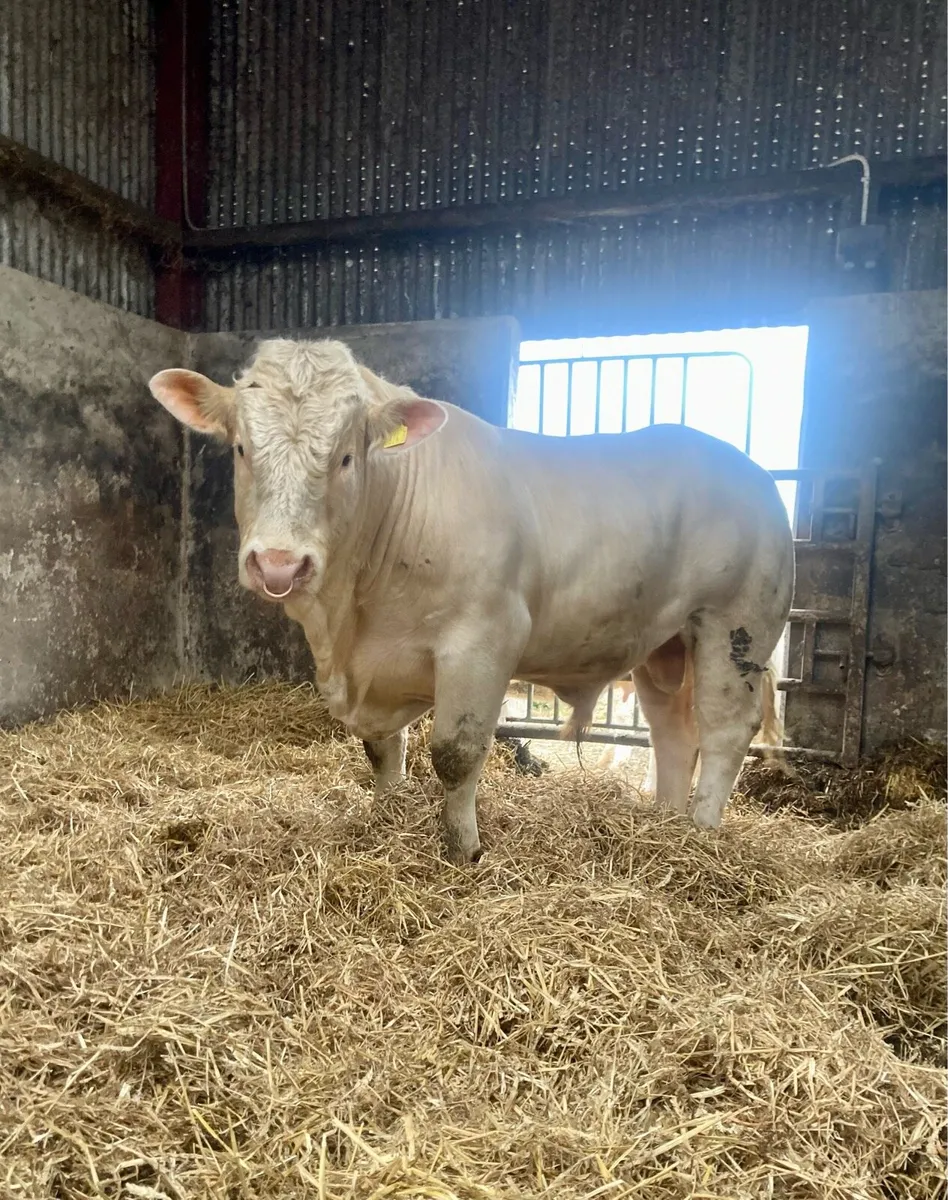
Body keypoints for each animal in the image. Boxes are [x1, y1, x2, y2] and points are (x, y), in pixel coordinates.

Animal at [149, 338, 794, 864]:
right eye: (239, 448)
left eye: (346, 456)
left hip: (736, 625)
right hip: (665, 643)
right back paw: (665, 823)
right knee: (671, 729)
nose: (279, 563)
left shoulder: (483, 640)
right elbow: (382, 751)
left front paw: (463, 850)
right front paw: (384, 820)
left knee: (722, 731)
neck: (349, 624)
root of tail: (753, 471)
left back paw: (701, 833)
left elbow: (455, 754)